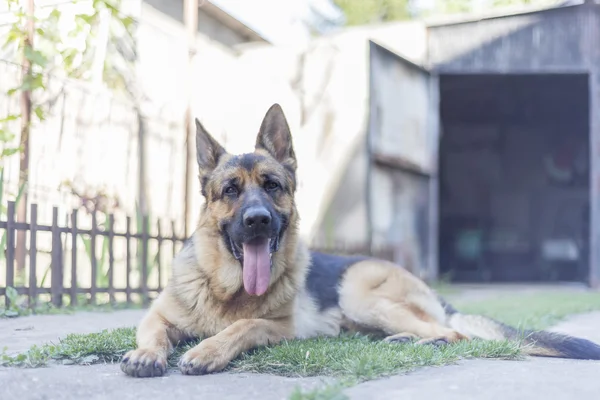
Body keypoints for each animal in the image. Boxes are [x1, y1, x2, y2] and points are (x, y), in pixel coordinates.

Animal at [119, 104, 600, 378]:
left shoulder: (279, 328)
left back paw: (421, 342)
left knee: (455, 333)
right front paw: (146, 354)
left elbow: (244, 326)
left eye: (272, 186)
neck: (226, 291)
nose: (258, 221)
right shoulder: (157, 315)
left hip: (360, 295)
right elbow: (154, 333)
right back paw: (403, 341)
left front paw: (209, 350)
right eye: (230, 191)